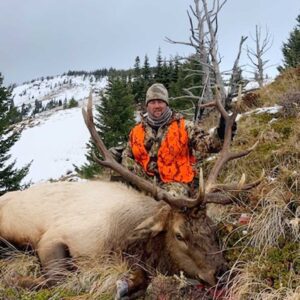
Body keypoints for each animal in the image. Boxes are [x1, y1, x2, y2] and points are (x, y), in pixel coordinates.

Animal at [0, 88, 262, 298]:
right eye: (179, 235)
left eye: (213, 228)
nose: (221, 273)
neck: (122, 238)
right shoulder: (53, 239)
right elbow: (60, 279)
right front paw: (24, 281)